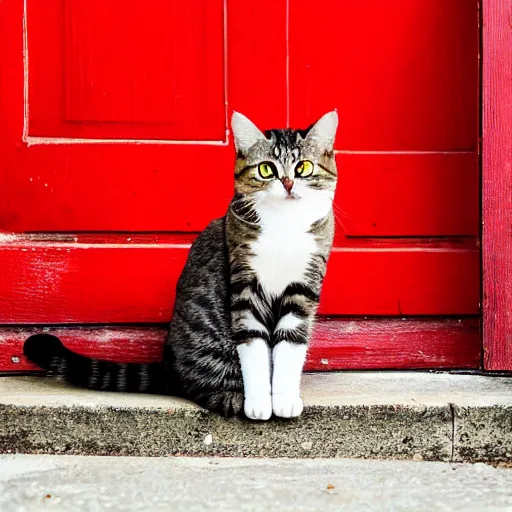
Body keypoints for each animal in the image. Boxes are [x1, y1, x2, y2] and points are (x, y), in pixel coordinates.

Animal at [26, 111, 342, 420]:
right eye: (267, 169)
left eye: (303, 167)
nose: (288, 183)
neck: (284, 226)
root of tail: (169, 367)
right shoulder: (245, 284)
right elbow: (253, 346)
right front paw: (259, 403)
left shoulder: (304, 285)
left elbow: (291, 345)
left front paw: (285, 400)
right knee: (202, 386)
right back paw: (232, 397)